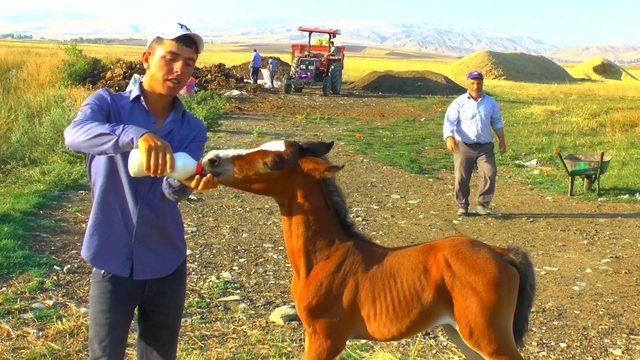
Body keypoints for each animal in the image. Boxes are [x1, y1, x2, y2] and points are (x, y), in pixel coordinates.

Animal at [202, 141, 532, 360]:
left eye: (272, 161)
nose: (211, 159)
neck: (325, 257)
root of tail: (501, 253)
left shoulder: (325, 337)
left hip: (489, 336)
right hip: (462, 334)